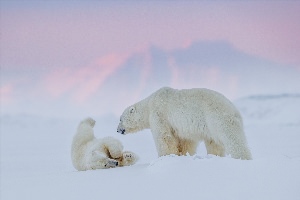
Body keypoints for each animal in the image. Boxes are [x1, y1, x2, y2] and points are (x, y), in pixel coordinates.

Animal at [116, 86, 252, 160]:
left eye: (120, 119)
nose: (117, 130)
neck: (149, 104)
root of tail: (236, 111)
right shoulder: (182, 128)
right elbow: (186, 141)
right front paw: (183, 155)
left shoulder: (159, 114)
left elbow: (164, 138)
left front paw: (165, 156)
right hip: (212, 127)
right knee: (214, 143)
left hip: (218, 119)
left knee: (232, 139)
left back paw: (242, 157)